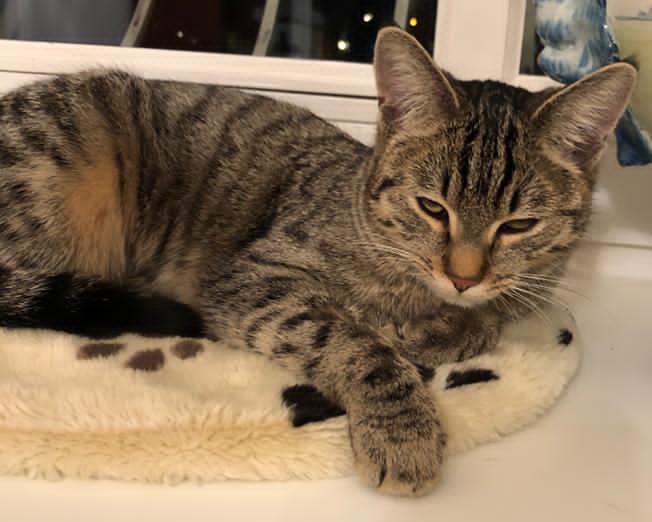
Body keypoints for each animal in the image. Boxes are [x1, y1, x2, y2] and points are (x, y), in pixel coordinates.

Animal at [0, 28, 635, 496]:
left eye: (519, 225)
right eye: (432, 208)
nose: (462, 274)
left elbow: (489, 316)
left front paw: (447, 327)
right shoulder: (254, 279)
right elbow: (355, 343)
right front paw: (402, 427)